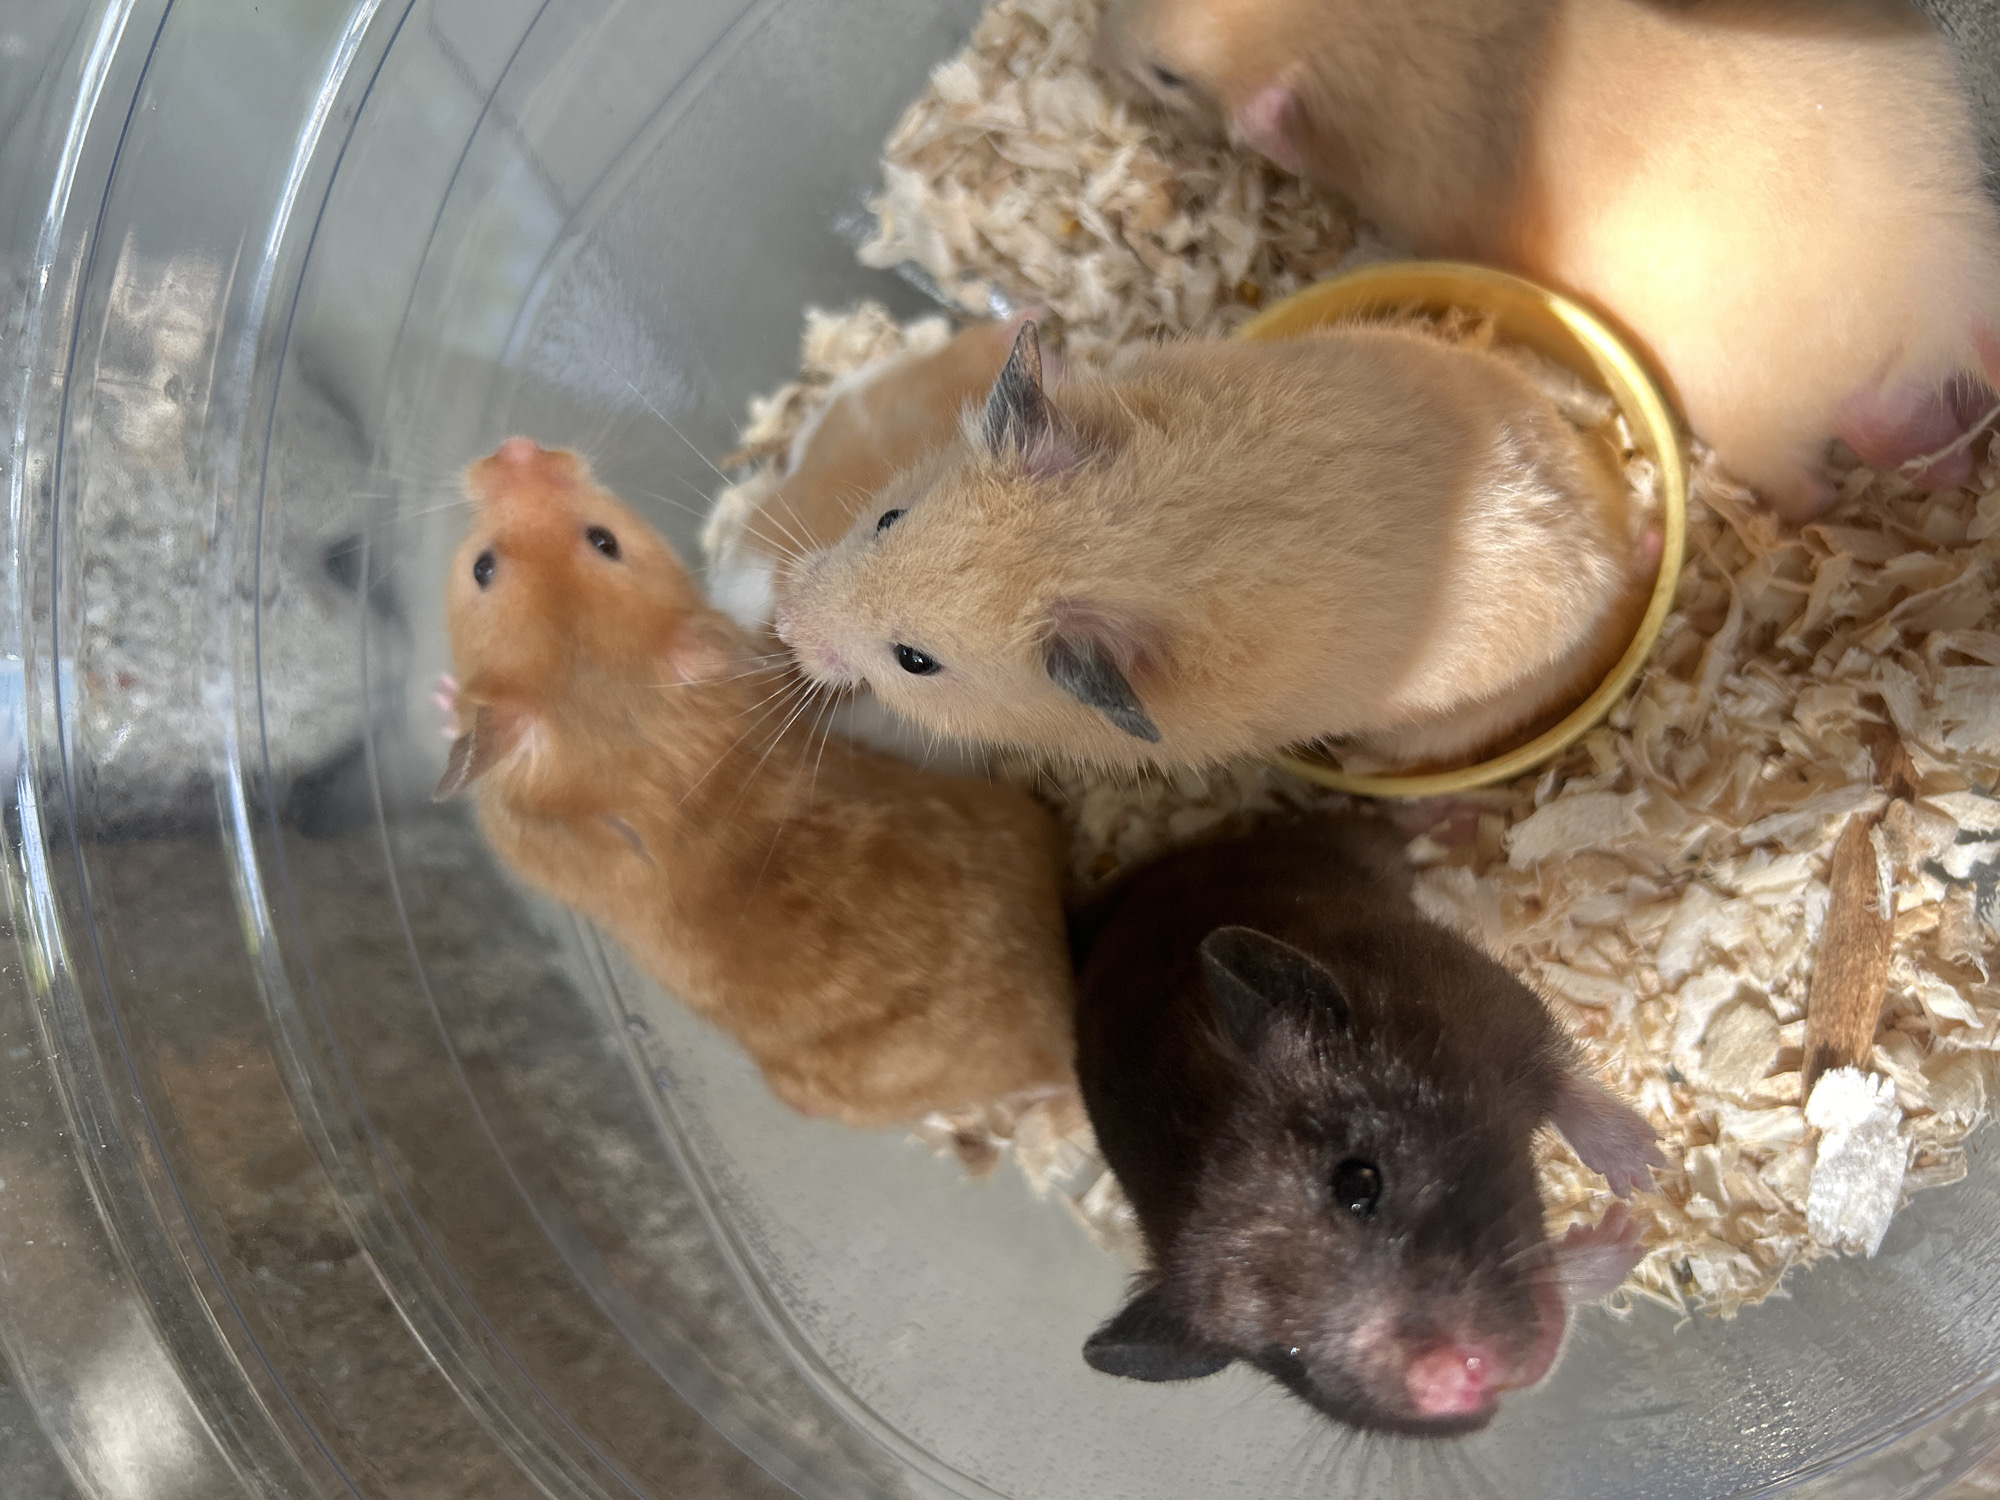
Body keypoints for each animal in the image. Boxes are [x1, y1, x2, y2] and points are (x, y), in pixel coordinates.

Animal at [1070, 813, 1660, 1435]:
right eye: (1284, 1355)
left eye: (1357, 1183)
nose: (1455, 1383)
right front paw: (1625, 1237)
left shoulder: (1497, 1002)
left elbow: (1566, 1081)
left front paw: (1641, 1190)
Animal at [1093, 0, 2000, 519]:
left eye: (1170, 76)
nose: (1108, 47)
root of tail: (1939, 276)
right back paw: (1949, 475)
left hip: (1755, 414)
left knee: (1812, 478)